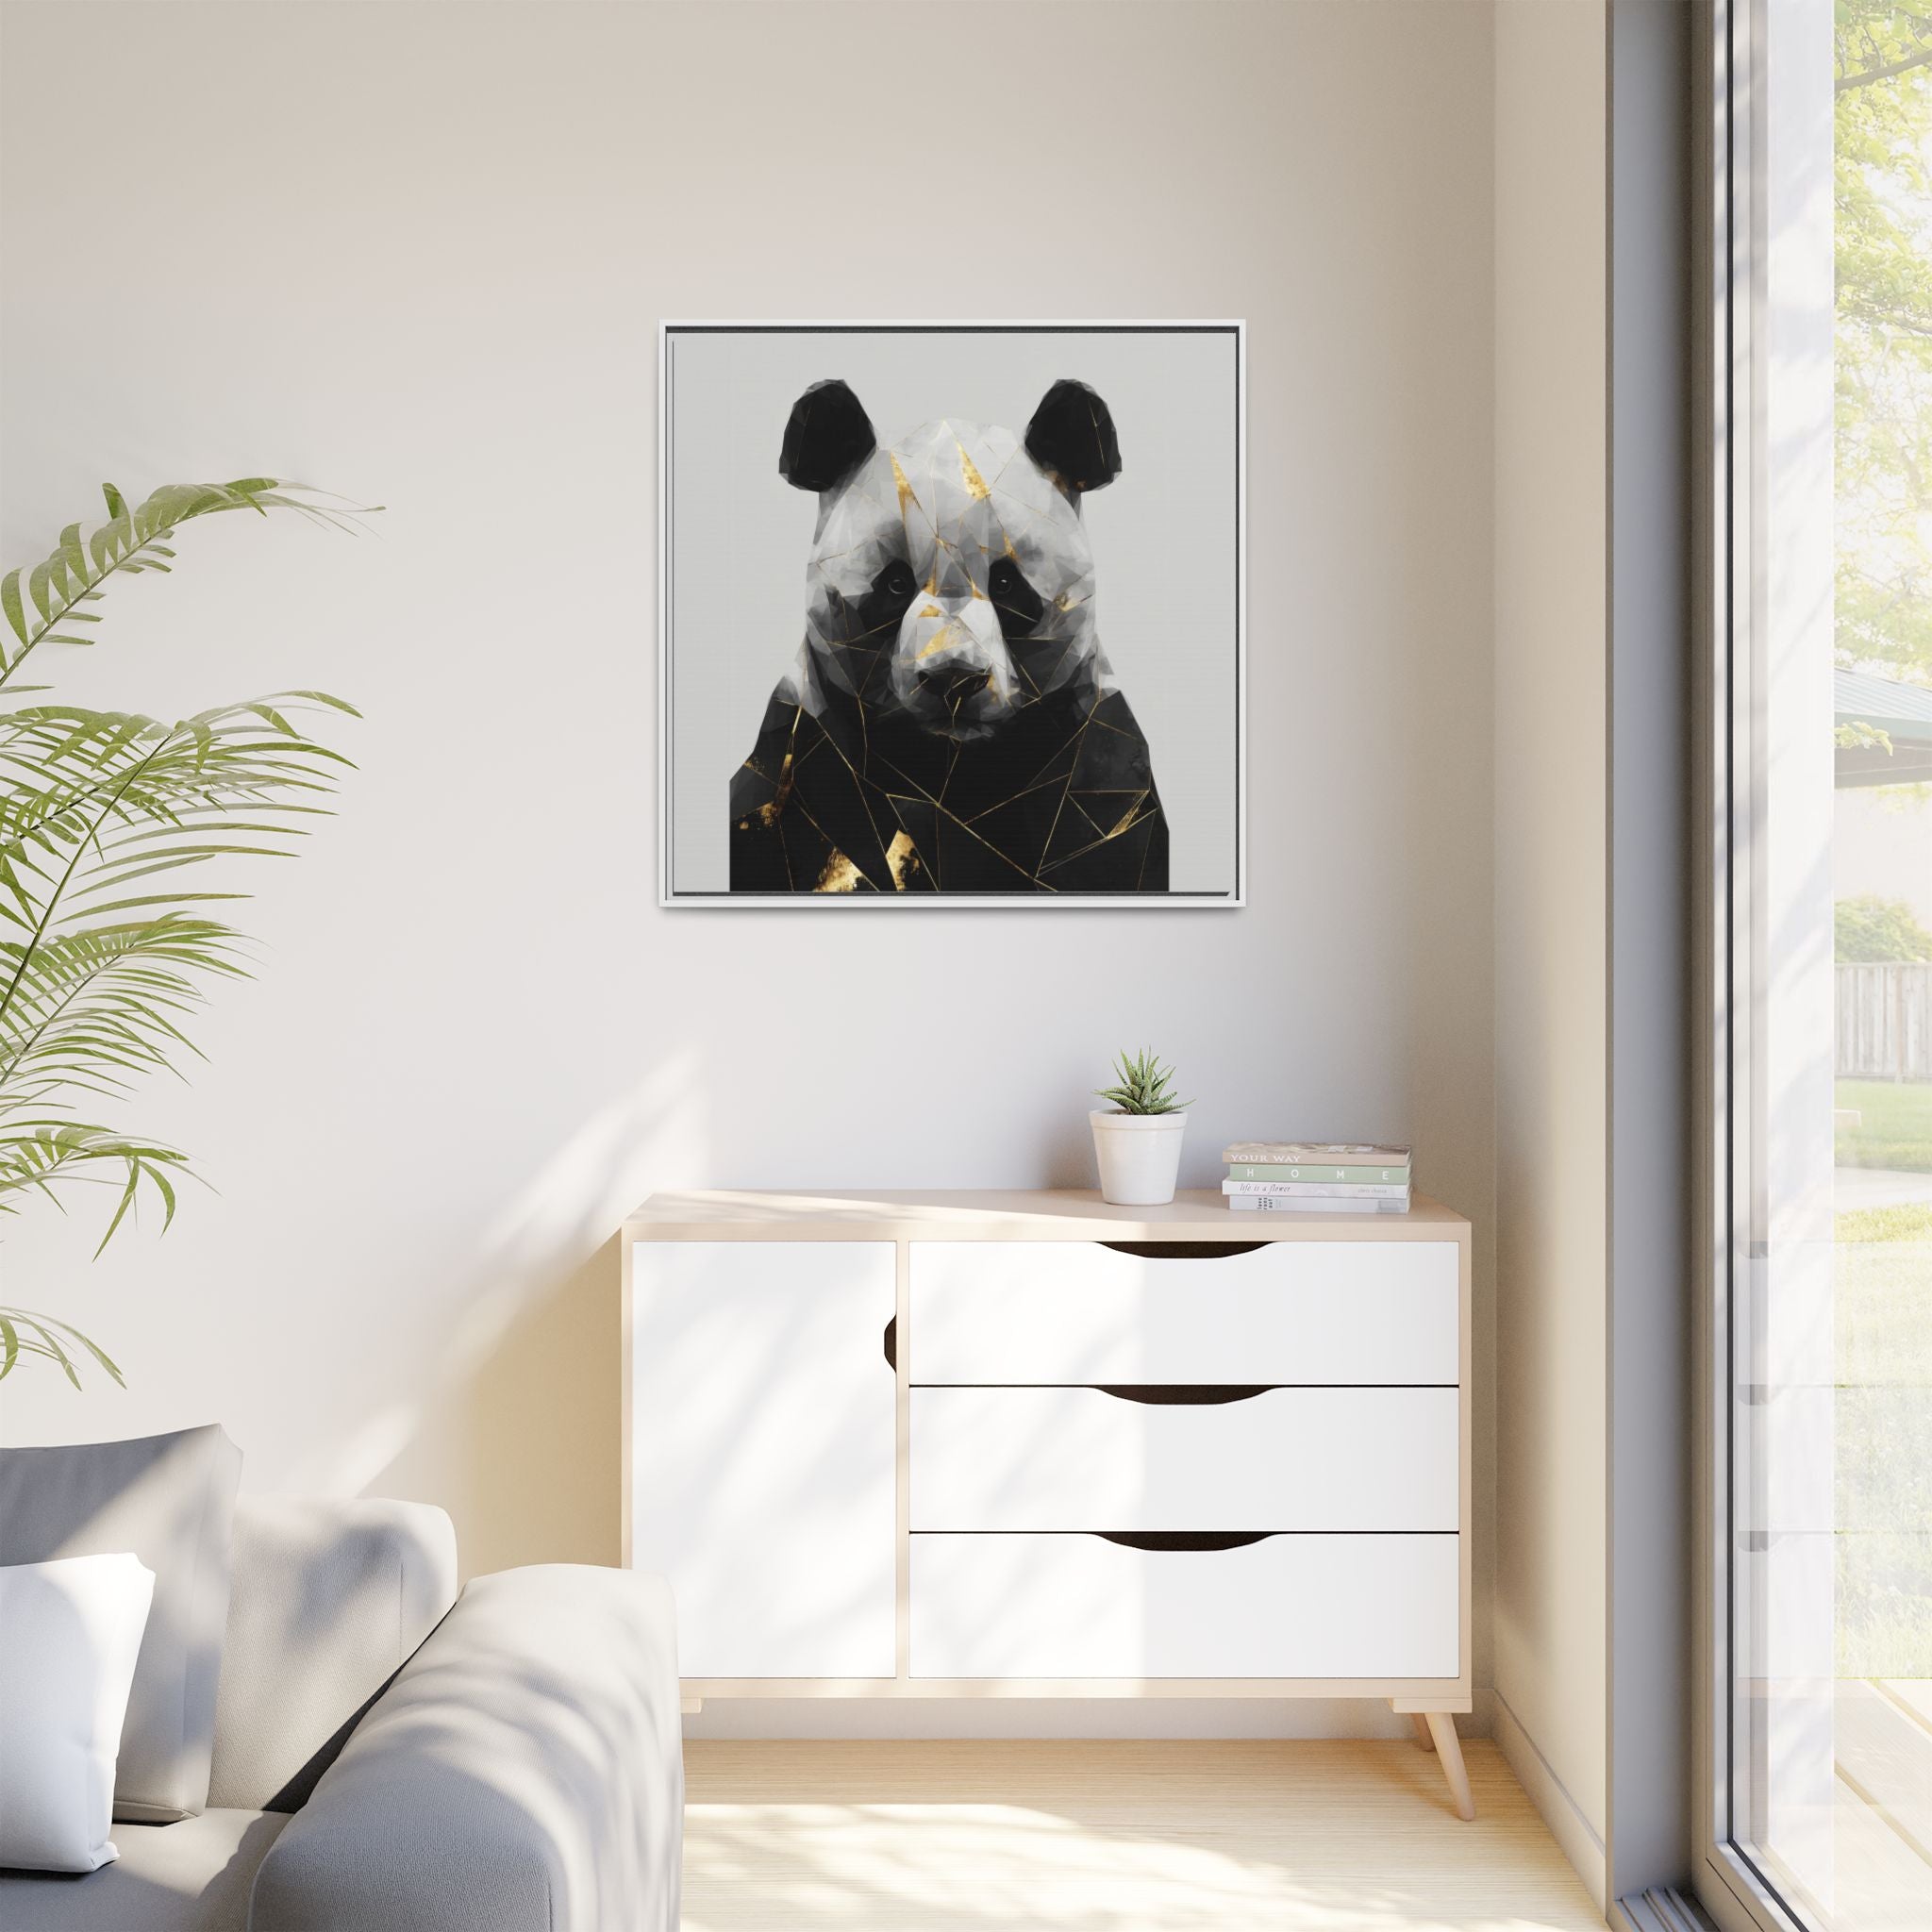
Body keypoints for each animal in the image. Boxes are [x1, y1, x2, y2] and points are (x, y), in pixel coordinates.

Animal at [728, 378, 1169, 894]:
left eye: (1006, 584)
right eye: (896, 583)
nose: (953, 679)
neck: (950, 771)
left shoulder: (1096, 770)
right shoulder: (804, 760)